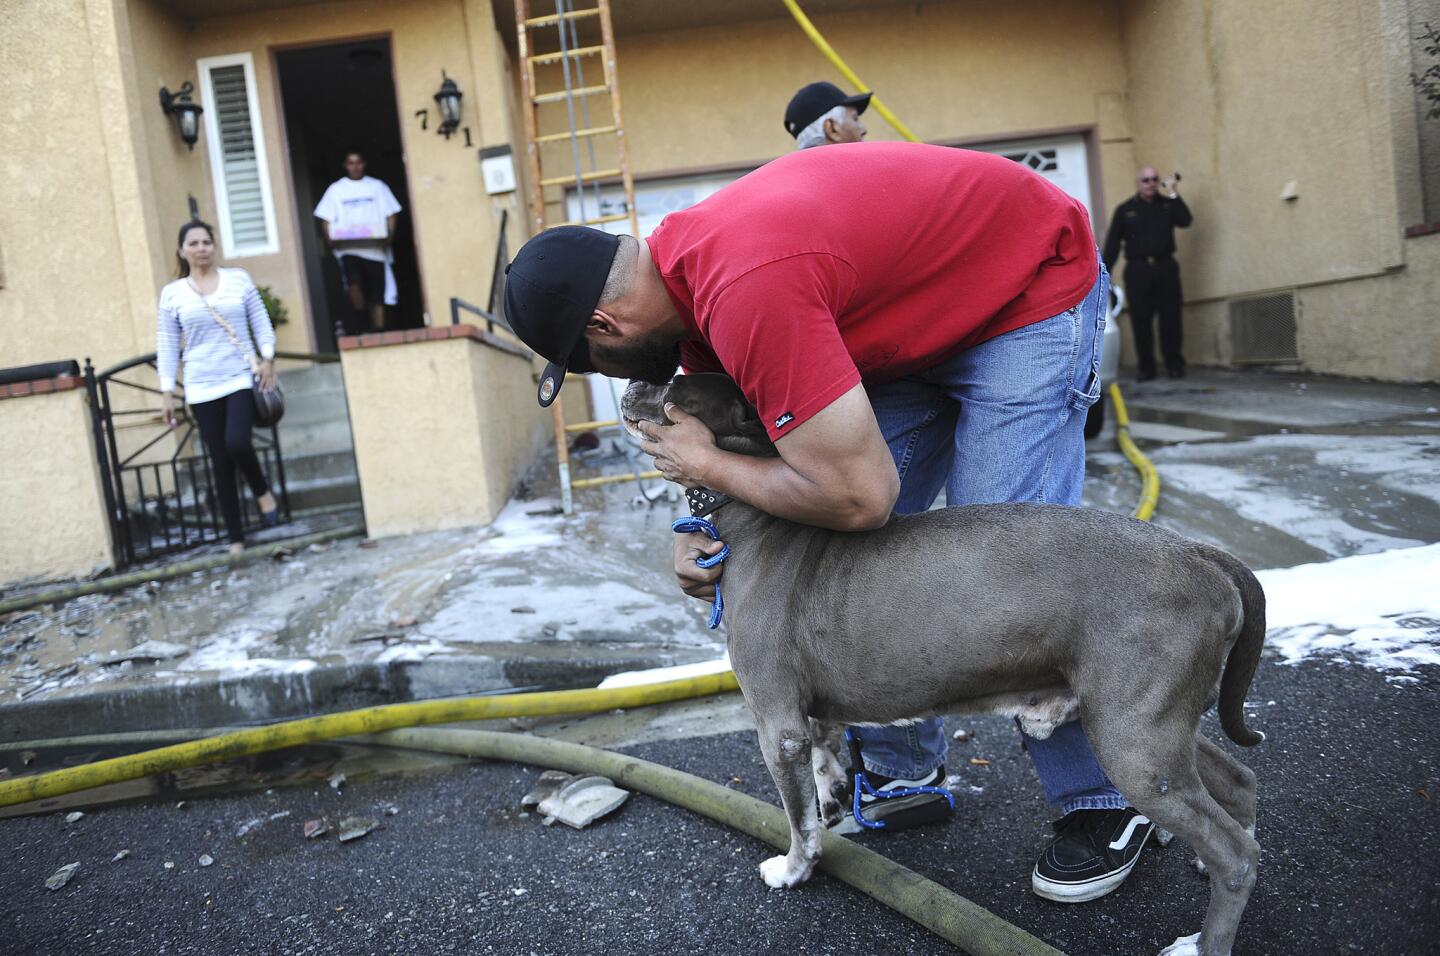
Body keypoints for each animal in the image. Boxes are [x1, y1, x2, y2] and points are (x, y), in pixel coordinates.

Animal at [619, 374, 1261, 956]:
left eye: (675, 389)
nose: (628, 383)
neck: (756, 515)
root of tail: (1200, 553)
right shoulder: (808, 719)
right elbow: (820, 772)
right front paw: (833, 803)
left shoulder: (777, 726)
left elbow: (796, 817)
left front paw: (795, 869)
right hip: (1154, 722)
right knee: (1237, 781)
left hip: (1133, 742)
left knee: (1235, 854)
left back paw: (1205, 940)